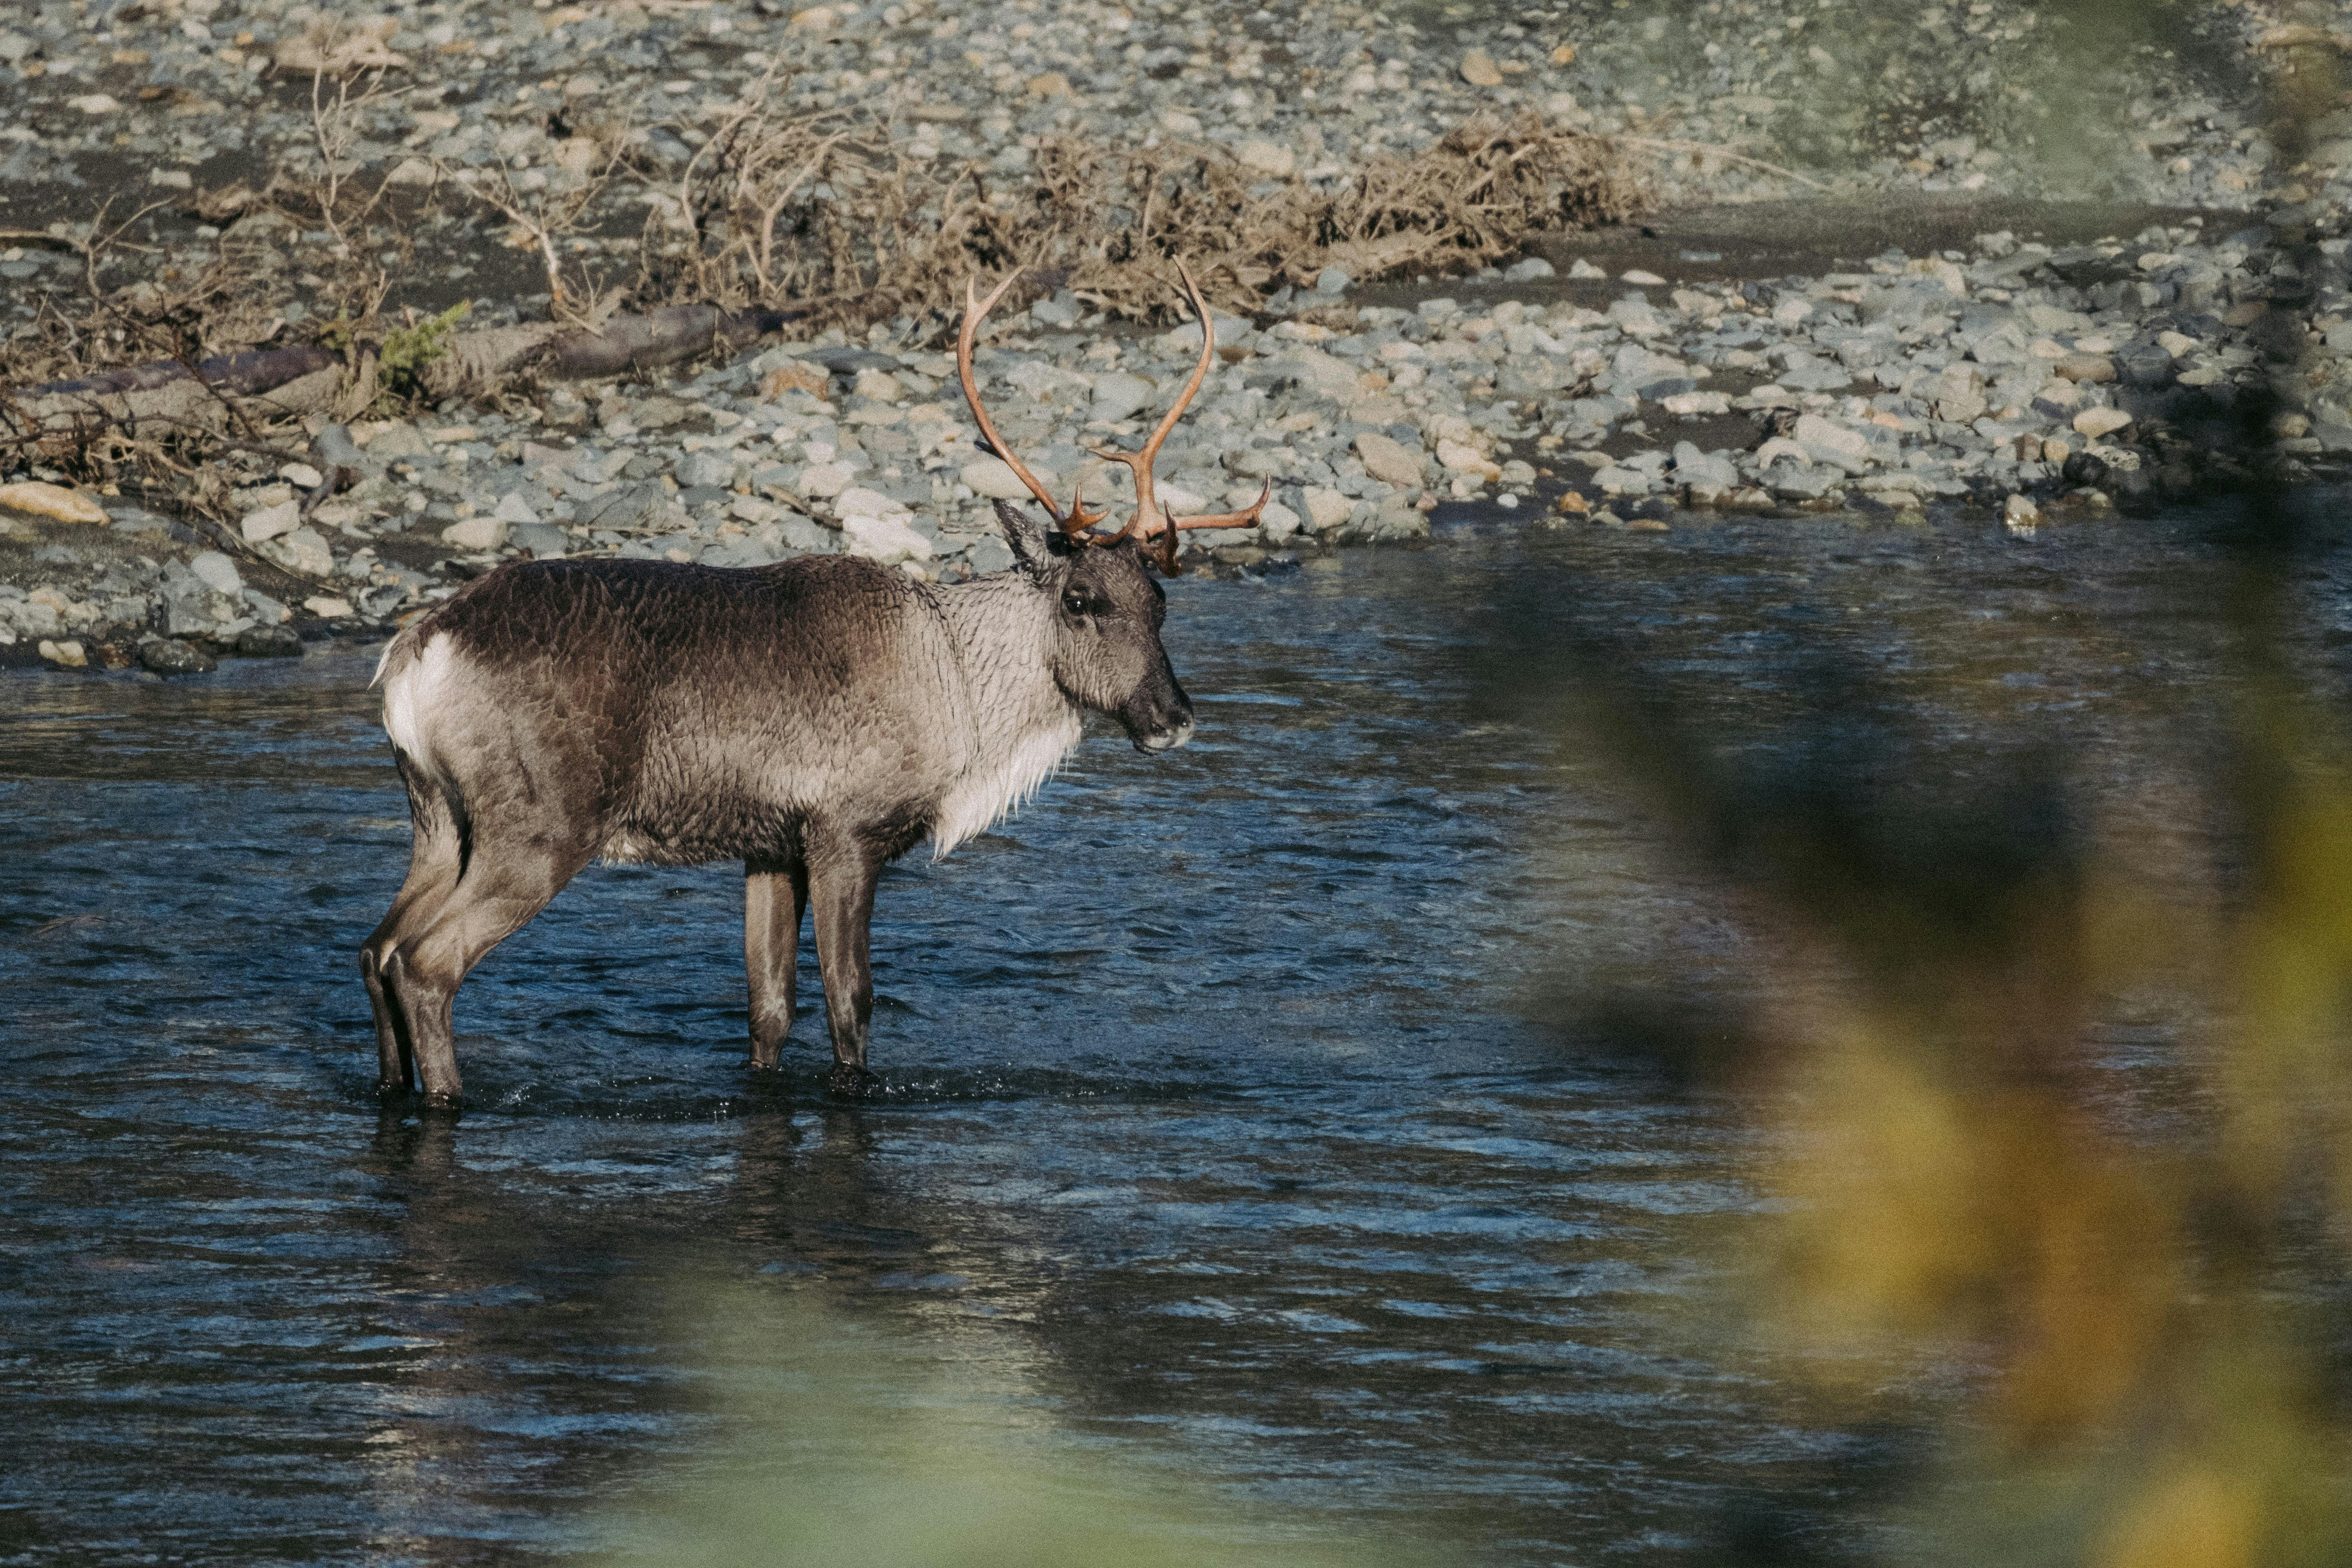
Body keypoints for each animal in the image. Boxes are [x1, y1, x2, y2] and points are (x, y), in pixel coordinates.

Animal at [361, 263, 1267, 1104]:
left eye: (1160, 600)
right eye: (1082, 599)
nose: (1173, 716)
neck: (960, 691)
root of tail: (413, 657)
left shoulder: (770, 845)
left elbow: (769, 1009)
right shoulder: (845, 832)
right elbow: (849, 1003)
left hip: (439, 817)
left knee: (377, 948)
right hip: (541, 824)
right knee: (427, 963)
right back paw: (448, 1099)